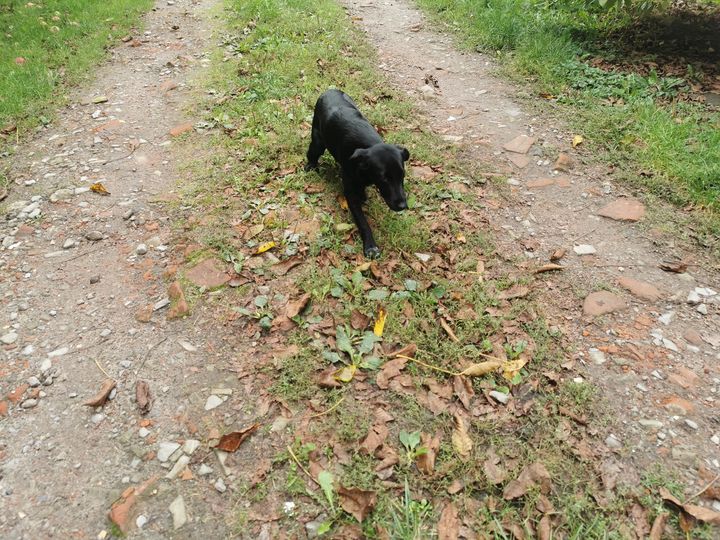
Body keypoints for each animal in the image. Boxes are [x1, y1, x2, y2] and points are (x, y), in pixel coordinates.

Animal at [305, 89, 410, 259]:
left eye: (402, 176)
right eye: (384, 178)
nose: (402, 206)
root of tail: (330, 89)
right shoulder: (350, 194)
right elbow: (363, 222)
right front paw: (371, 246)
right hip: (318, 142)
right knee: (312, 154)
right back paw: (311, 166)